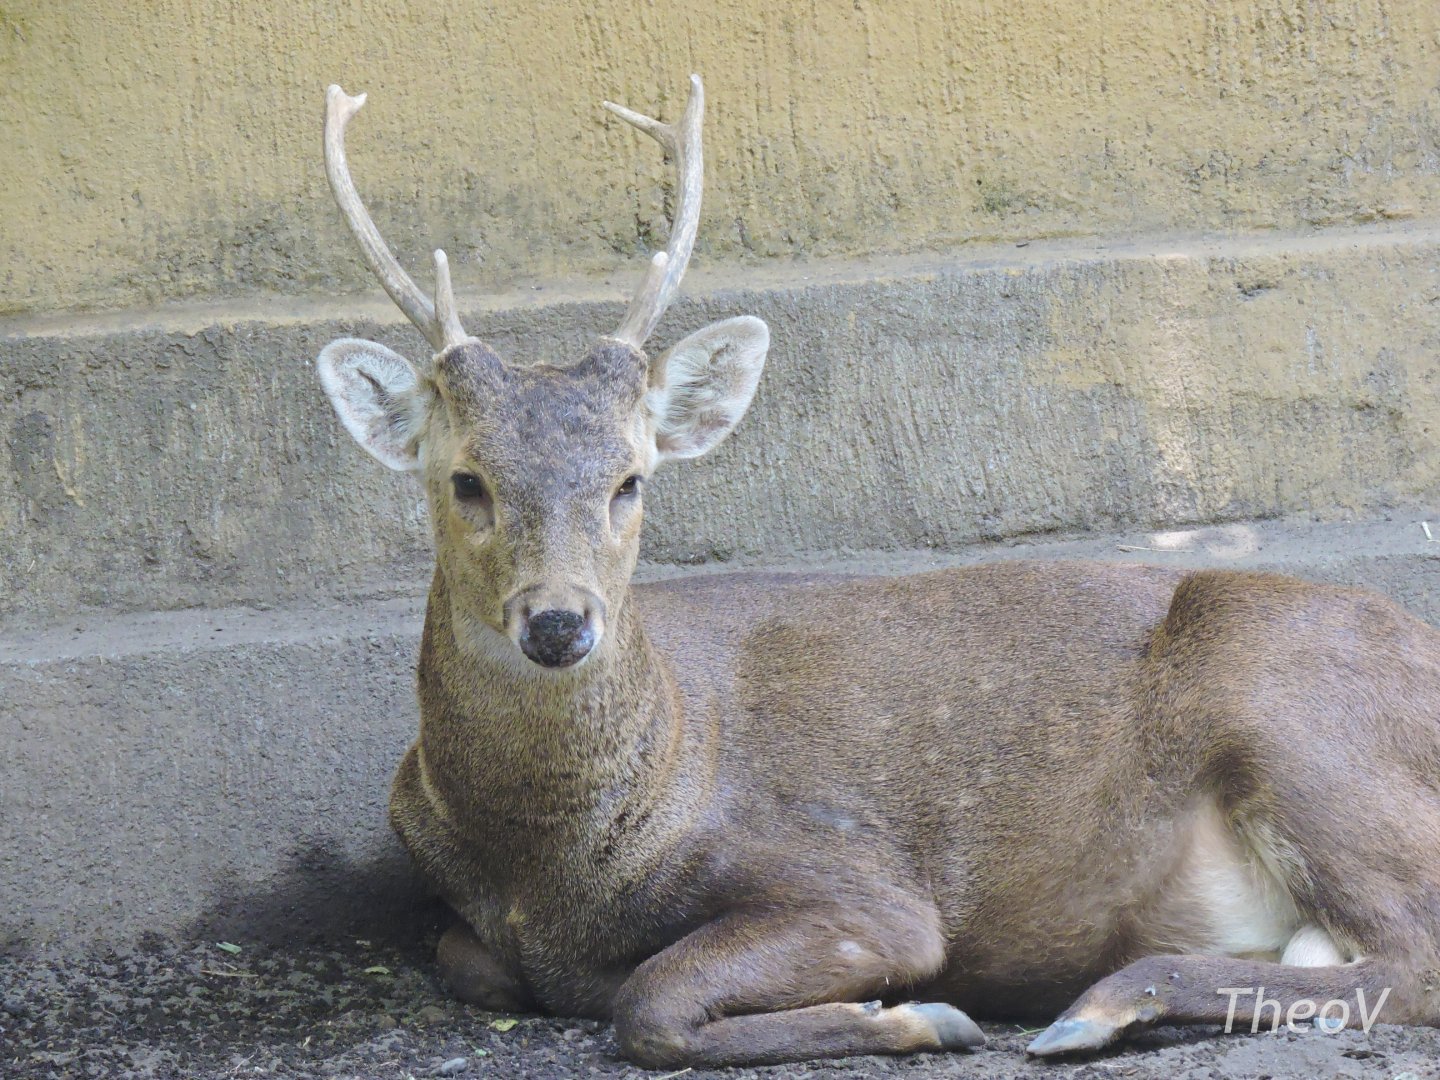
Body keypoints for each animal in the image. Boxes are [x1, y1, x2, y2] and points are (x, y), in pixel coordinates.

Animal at [315, 75, 1440, 1068]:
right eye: (466, 479)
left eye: (630, 479)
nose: (558, 622)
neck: (545, 872)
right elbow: (472, 961)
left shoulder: (861, 884)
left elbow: (651, 1000)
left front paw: (922, 1016)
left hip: (1293, 709)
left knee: (1410, 955)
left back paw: (1101, 1005)